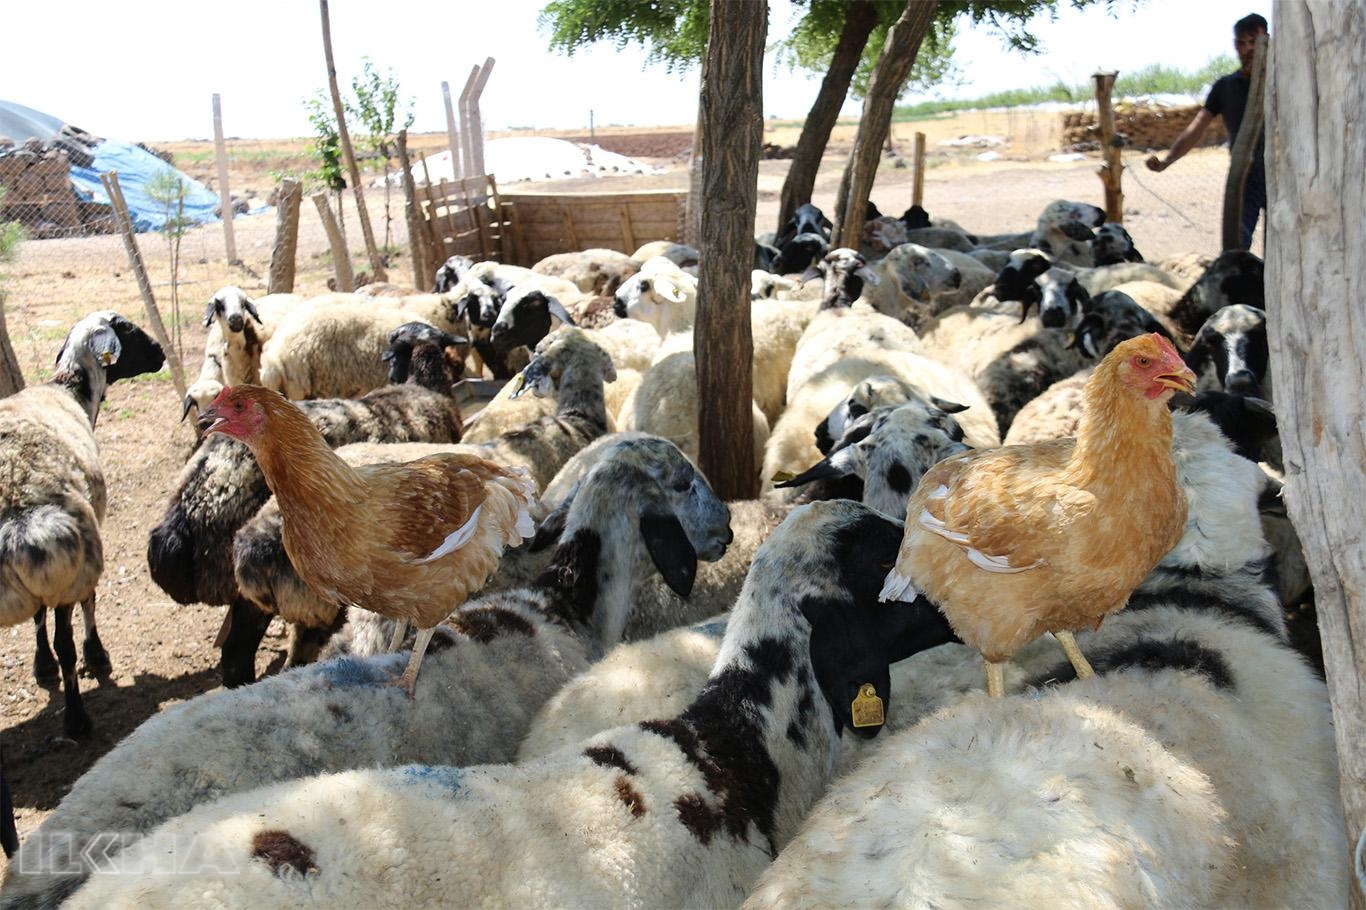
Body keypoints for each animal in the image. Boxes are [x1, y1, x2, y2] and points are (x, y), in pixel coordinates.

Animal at [0, 311, 164, 737]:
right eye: (129, 329)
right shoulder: (82, 559)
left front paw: (41, 665)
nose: (160, 353)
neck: (70, 393)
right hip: (72, 565)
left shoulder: (48, 580)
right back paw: (76, 720)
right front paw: (97, 654)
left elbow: (37, 618)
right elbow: (87, 604)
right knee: (67, 646)